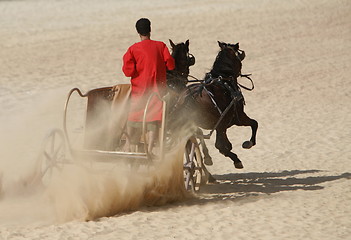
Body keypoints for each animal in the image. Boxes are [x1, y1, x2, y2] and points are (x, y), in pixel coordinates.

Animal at [173, 41, 258, 169]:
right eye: (238, 54)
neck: (224, 79)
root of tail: (187, 98)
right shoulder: (237, 117)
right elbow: (254, 123)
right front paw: (249, 143)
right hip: (219, 124)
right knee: (218, 145)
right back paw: (235, 160)